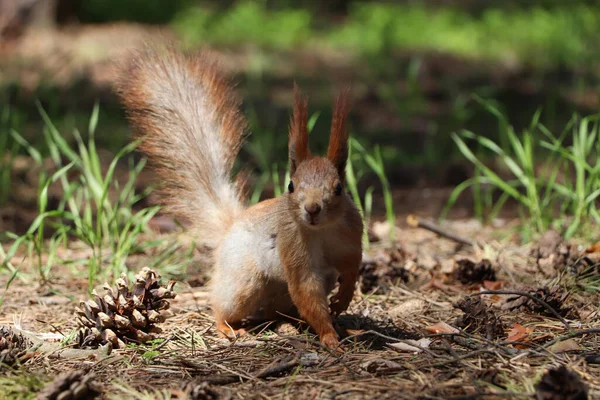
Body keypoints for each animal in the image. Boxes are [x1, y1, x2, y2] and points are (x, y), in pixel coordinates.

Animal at [115, 43, 364, 348]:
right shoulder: (294, 246)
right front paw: (328, 335)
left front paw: (342, 301)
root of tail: (229, 229)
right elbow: (306, 288)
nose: (312, 208)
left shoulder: (352, 235)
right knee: (225, 306)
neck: (323, 230)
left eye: (338, 187)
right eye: (291, 186)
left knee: (280, 310)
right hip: (244, 282)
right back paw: (228, 328)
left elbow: (352, 268)